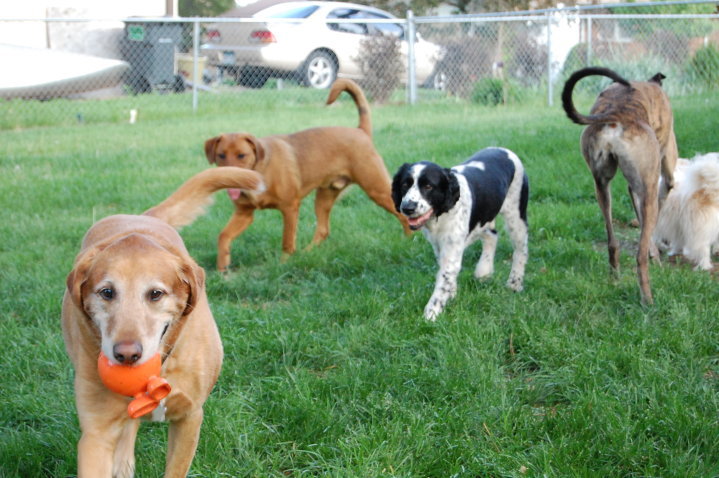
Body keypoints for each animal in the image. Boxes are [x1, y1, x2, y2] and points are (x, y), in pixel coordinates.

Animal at [62, 168, 262, 478]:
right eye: (107, 292)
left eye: (155, 294)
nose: (127, 354)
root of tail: (143, 217)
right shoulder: (96, 434)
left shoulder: (190, 417)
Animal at [205, 80, 414, 270]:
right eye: (221, 155)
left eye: (242, 155)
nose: (227, 177)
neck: (260, 170)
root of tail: (360, 131)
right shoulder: (245, 213)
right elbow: (223, 236)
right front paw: (222, 268)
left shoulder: (290, 208)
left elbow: (287, 242)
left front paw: (284, 264)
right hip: (324, 196)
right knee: (323, 230)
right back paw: (307, 253)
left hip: (377, 189)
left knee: (403, 216)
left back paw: (408, 241)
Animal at [394, 148, 528, 322]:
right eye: (405, 184)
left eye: (428, 186)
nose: (407, 207)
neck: (441, 214)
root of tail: (504, 150)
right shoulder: (439, 245)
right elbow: (446, 276)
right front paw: (450, 295)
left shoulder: (452, 247)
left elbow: (445, 277)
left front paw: (431, 314)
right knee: (492, 235)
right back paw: (484, 271)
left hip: (516, 214)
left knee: (521, 249)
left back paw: (514, 283)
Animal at [564, 66, 676, 306]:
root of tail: (615, 115)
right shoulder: (663, 168)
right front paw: (656, 255)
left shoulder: (632, 187)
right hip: (649, 188)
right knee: (640, 256)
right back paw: (647, 298)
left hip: (601, 186)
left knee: (612, 242)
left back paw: (614, 278)